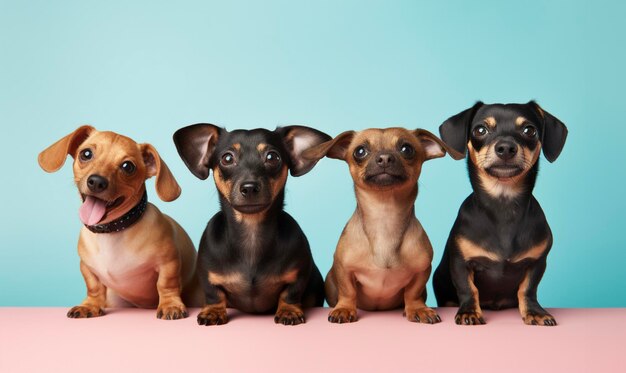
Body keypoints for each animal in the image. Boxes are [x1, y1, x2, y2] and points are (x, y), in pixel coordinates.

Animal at [38, 126, 200, 318]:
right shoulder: (87, 268)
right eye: (86, 154)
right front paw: (90, 305)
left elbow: (166, 284)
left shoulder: (169, 263)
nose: (97, 182)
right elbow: (93, 287)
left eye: (127, 166)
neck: (111, 232)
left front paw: (170, 305)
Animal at [171, 123, 326, 324]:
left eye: (272, 157)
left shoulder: (299, 274)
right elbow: (214, 295)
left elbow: (290, 293)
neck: (251, 231)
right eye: (227, 158)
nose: (249, 187)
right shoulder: (208, 278)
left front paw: (289, 310)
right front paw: (213, 311)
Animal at [304, 127, 460, 322]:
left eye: (407, 149)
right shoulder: (344, 270)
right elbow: (348, 291)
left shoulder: (422, 271)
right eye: (360, 151)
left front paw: (418, 309)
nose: (385, 158)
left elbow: (413, 293)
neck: (384, 217)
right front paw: (345, 309)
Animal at [432, 100, 568, 324]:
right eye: (480, 130)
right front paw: (469, 312)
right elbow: (468, 289)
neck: (503, 204)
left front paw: (535, 312)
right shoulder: (461, 264)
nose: (506, 148)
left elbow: (528, 289)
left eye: (529, 130)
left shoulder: (537, 263)